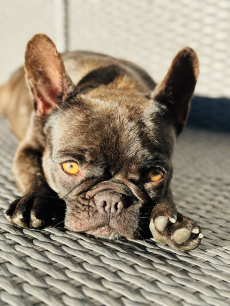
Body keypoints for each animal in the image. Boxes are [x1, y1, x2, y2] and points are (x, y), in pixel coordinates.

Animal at [0, 34, 203, 251]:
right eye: (70, 166)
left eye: (155, 174)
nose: (111, 200)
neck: (116, 86)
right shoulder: (28, 146)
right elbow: (32, 170)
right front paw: (35, 199)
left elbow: (167, 193)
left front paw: (171, 220)